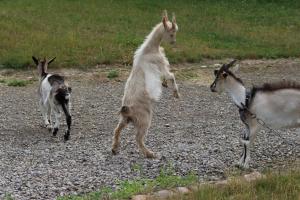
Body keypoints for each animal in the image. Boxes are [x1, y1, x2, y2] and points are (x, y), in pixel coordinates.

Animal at [111, 10, 179, 158]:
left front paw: (165, 85)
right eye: (172, 33)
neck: (150, 48)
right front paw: (176, 93)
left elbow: (166, 78)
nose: (174, 42)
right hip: (145, 119)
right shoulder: (161, 65)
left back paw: (114, 148)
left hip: (124, 120)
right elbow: (171, 76)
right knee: (138, 138)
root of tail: (128, 109)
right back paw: (149, 153)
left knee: (117, 130)